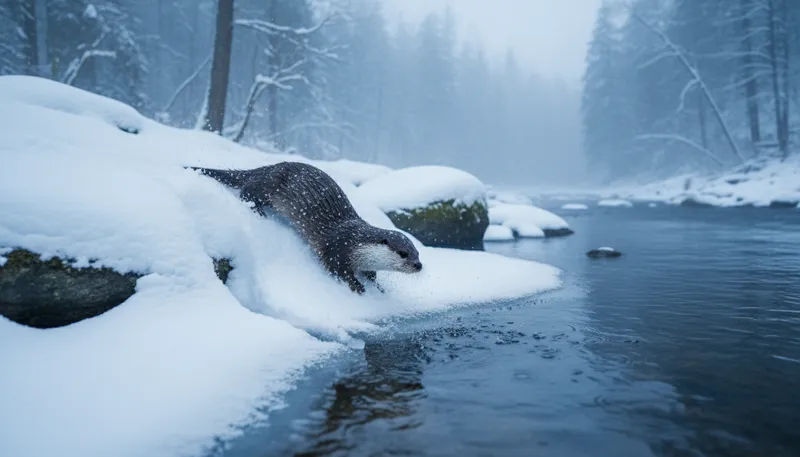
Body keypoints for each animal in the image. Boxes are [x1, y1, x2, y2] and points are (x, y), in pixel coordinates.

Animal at [188, 161, 423, 294]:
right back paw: (258, 210)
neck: (357, 243)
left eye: (417, 252)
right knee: (248, 191)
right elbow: (336, 269)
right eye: (403, 253)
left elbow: (371, 273)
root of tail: (268, 168)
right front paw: (357, 285)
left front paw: (376, 283)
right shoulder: (337, 249)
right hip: (268, 185)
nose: (418, 265)